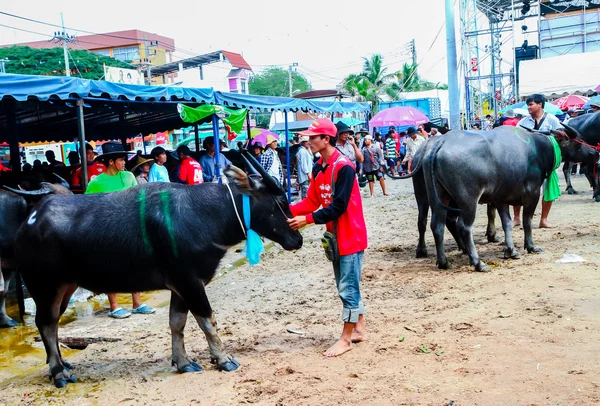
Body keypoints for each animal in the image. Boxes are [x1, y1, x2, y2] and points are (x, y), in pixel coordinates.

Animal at [14, 158, 302, 386]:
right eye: (280, 200)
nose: (297, 239)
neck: (205, 215)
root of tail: (28, 222)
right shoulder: (190, 282)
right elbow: (208, 320)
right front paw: (223, 359)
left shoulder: (179, 285)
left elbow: (177, 322)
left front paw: (183, 362)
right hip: (45, 287)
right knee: (46, 323)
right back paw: (59, 373)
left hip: (66, 287)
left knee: (51, 324)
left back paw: (62, 364)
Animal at [418, 125, 600, 272]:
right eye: (580, 140)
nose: (595, 152)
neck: (539, 149)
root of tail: (440, 143)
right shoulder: (532, 194)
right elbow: (527, 222)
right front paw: (531, 246)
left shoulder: (502, 199)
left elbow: (507, 223)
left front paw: (510, 250)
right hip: (468, 200)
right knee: (463, 227)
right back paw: (478, 263)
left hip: (438, 198)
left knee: (437, 225)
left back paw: (444, 262)